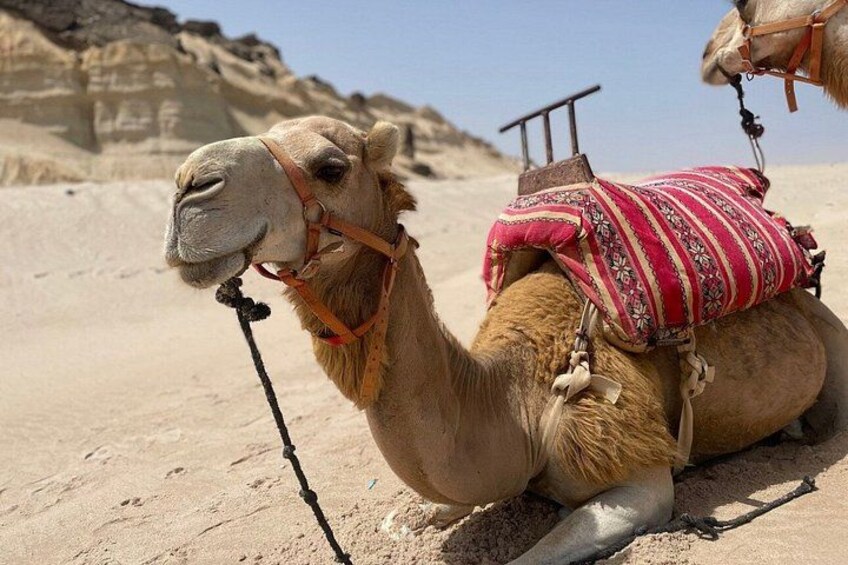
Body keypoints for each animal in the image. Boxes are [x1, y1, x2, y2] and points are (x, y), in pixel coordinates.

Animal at [164, 116, 848, 563]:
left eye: (330, 168)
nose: (189, 182)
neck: (512, 398)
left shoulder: (641, 477)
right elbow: (420, 511)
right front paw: (413, 517)